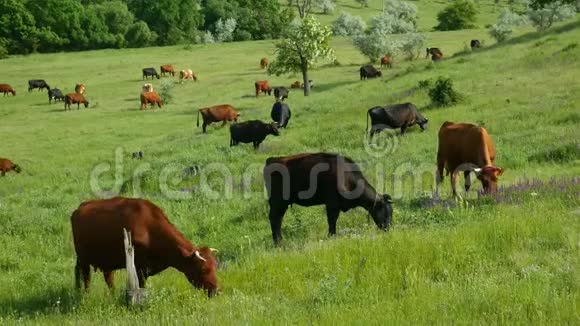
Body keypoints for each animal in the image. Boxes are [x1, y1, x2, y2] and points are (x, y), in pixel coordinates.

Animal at [71, 195, 219, 296]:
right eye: (204, 269)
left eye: (215, 268)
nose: (217, 291)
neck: (150, 229)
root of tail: (79, 208)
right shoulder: (139, 268)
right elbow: (141, 285)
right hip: (84, 259)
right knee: (86, 277)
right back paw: (85, 295)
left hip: (104, 260)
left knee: (107, 278)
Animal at [264, 153, 394, 244]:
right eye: (386, 213)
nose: (388, 228)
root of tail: (272, 159)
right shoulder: (332, 204)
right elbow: (332, 220)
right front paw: (332, 236)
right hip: (278, 201)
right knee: (275, 219)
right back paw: (279, 242)